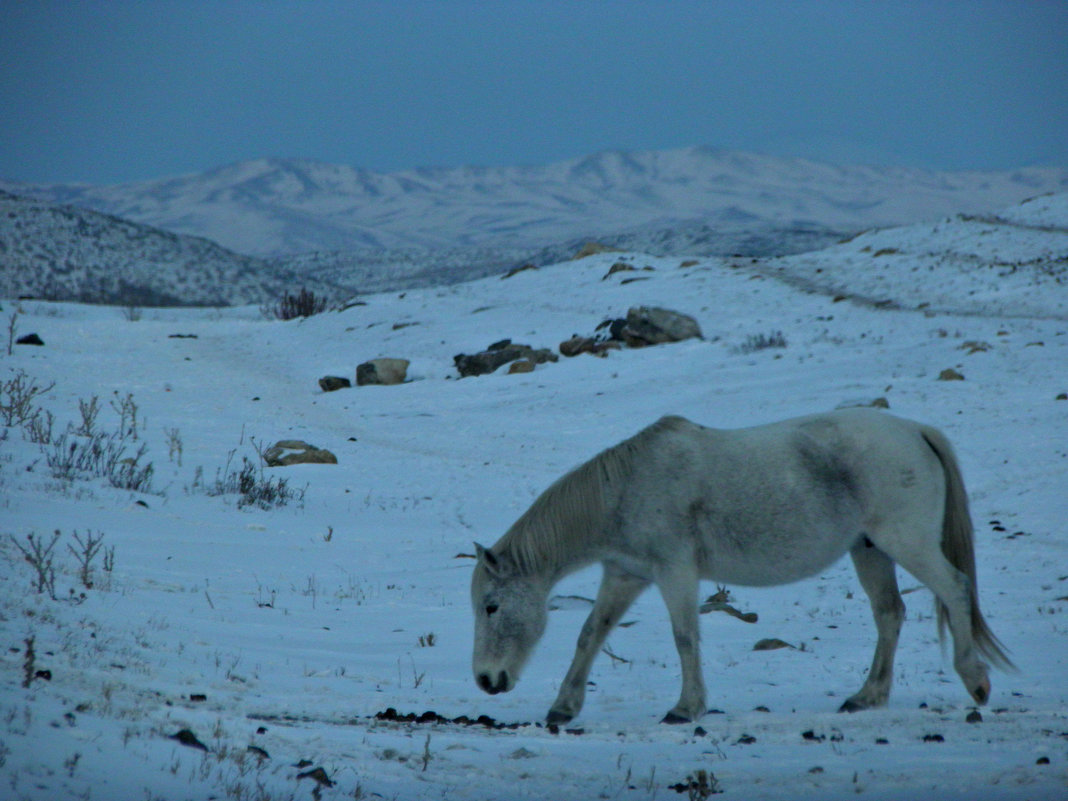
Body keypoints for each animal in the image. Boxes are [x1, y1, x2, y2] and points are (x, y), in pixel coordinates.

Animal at [472, 410, 1012, 726]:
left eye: (492, 606)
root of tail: (915, 430)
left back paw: (975, 681)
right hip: (870, 551)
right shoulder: (626, 576)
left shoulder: (675, 573)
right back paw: (867, 696)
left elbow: (685, 638)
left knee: (956, 589)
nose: (486, 680)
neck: (625, 490)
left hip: (907, 543)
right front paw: (563, 708)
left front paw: (686, 708)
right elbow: (590, 634)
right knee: (889, 614)